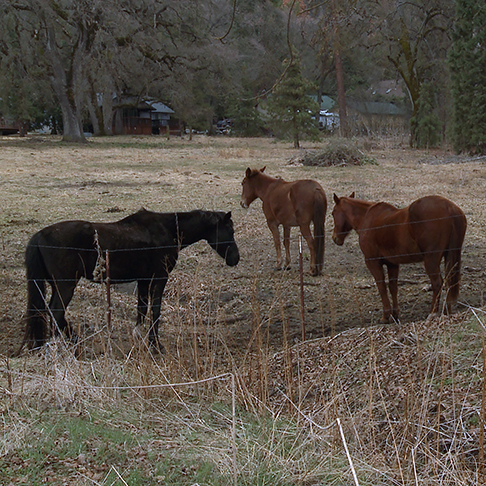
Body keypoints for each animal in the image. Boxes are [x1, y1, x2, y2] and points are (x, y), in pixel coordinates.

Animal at [23, 208, 240, 350]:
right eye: (230, 231)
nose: (235, 258)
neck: (167, 230)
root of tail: (40, 235)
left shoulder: (143, 280)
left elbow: (142, 309)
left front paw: (139, 337)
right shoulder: (160, 278)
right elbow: (155, 310)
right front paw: (155, 344)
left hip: (56, 286)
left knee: (49, 312)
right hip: (66, 286)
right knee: (56, 312)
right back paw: (71, 343)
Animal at [332, 194, 466, 322]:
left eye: (333, 213)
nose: (335, 238)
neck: (367, 218)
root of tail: (450, 208)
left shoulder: (372, 262)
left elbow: (381, 287)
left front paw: (386, 316)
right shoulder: (392, 264)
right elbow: (393, 287)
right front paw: (395, 314)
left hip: (431, 260)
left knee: (437, 283)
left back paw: (433, 313)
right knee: (449, 282)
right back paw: (447, 311)